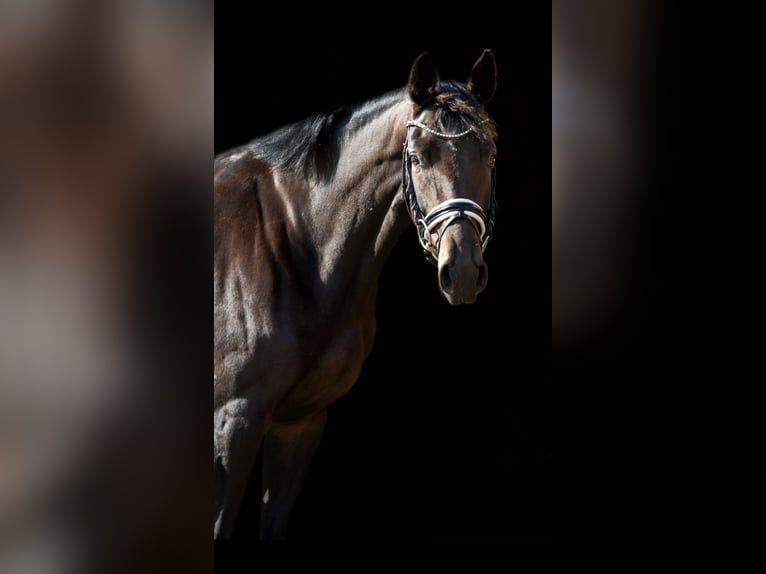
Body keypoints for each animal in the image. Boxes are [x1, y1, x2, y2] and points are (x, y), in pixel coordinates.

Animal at [214, 50, 499, 540]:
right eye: (418, 157)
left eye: (491, 154)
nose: (461, 272)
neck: (298, 245)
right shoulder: (235, 422)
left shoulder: (299, 422)